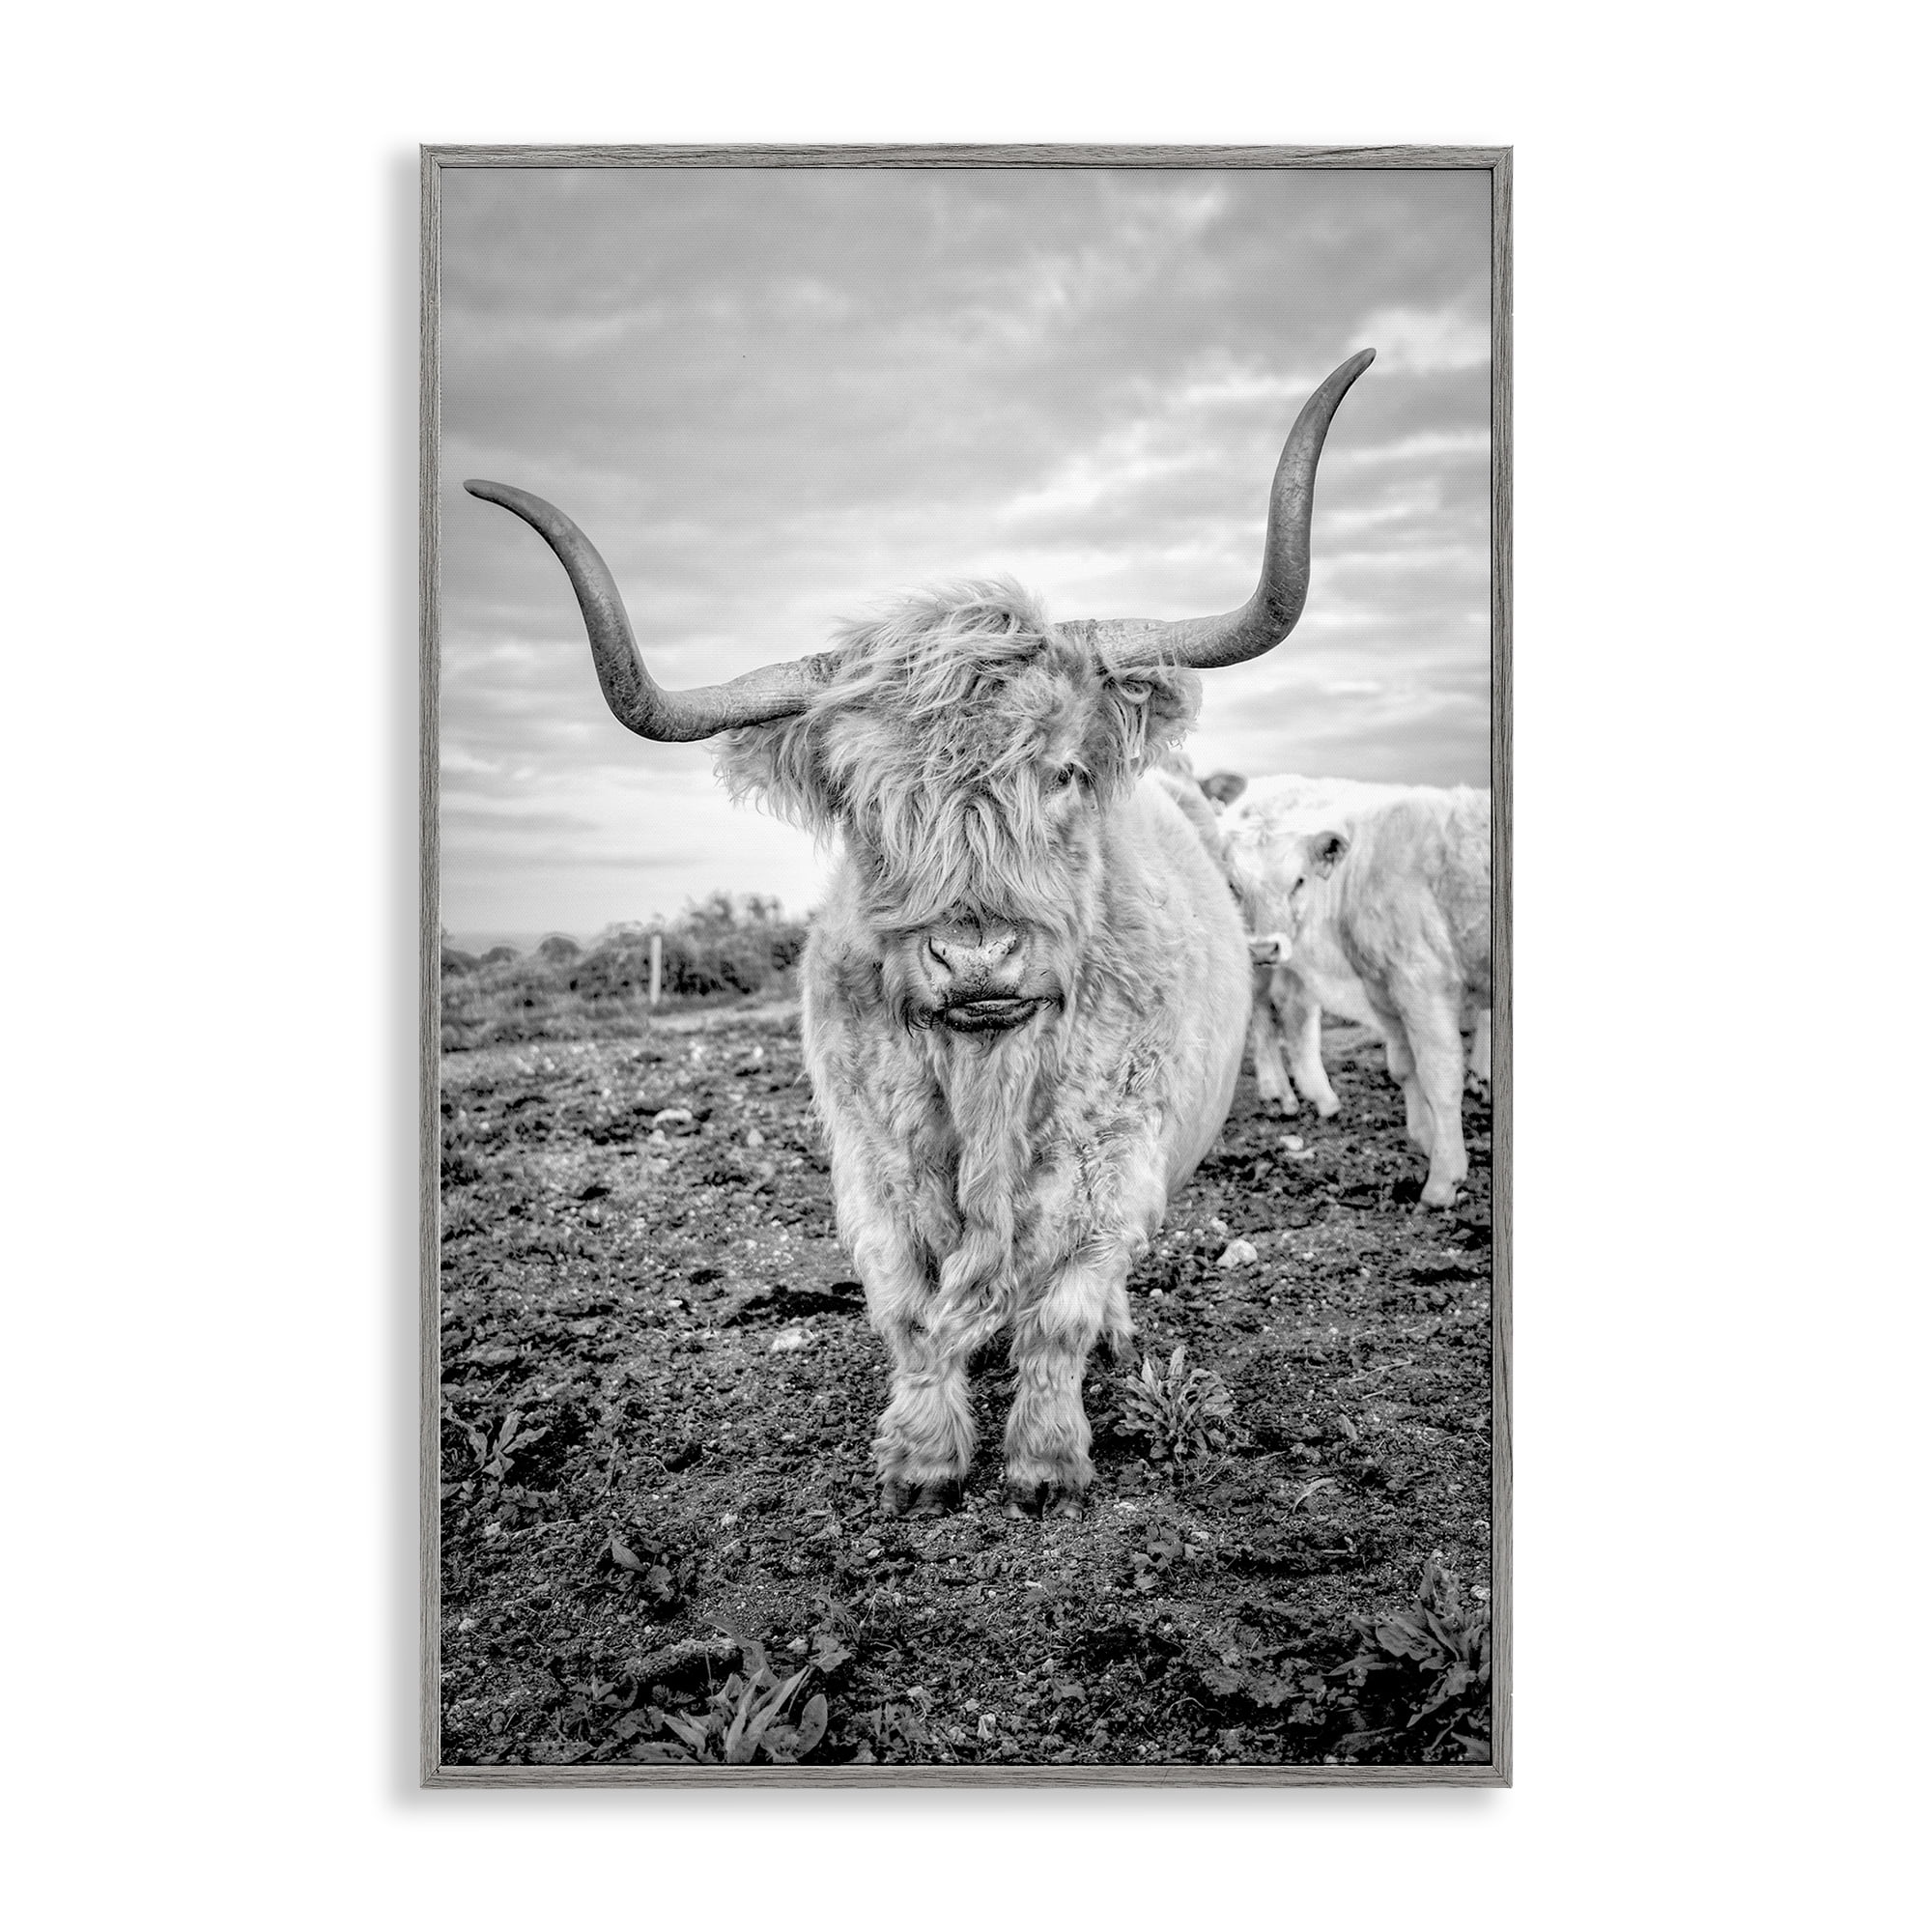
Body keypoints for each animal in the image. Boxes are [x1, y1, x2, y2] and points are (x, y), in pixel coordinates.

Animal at [465, 349, 1373, 1516]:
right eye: (862, 802)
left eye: (1062, 770)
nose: (977, 956)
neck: (987, 1077)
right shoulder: (870, 1165)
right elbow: (906, 1311)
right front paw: (922, 1458)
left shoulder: (1114, 1161)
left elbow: (1060, 1311)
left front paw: (1045, 1462)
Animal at [1218, 778, 1491, 1208]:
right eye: (1234, 886)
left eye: (1299, 881)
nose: (1263, 949)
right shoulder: (1398, 984)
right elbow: (1414, 1068)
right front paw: (1438, 1157)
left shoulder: (1412, 983)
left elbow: (1431, 1073)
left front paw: (1440, 1171)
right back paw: (1290, 1094)